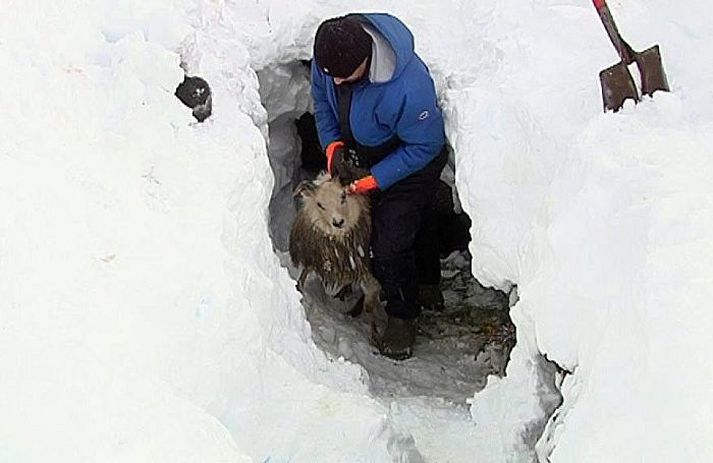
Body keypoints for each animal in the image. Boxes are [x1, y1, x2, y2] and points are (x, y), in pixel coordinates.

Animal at [288, 172, 384, 342]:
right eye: (320, 204)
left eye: (343, 196)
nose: (338, 222)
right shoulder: (316, 256)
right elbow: (304, 274)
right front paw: (298, 288)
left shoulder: (367, 271)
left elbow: (369, 305)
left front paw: (374, 335)